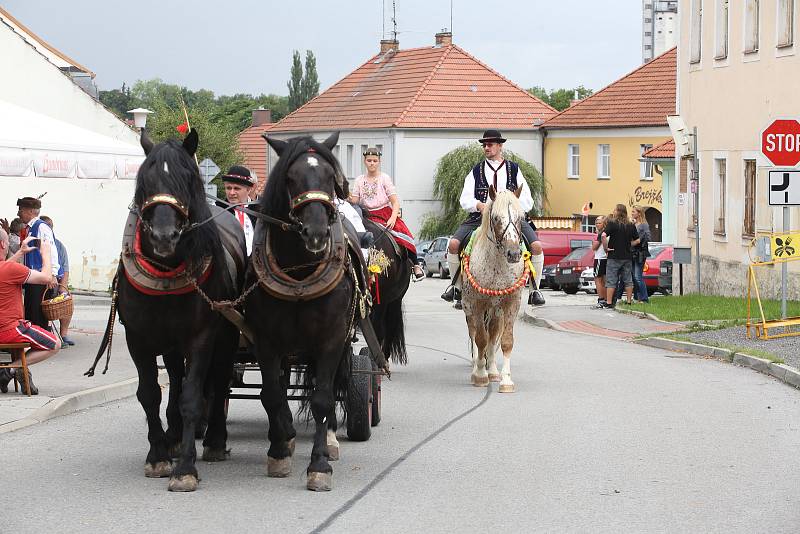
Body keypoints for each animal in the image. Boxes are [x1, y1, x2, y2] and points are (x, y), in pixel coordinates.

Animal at [91, 131, 247, 494]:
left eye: (187, 178)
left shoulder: (201, 337)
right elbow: (150, 394)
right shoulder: (138, 338)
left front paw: (186, 468)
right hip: (171, 342)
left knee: (219, 380)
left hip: (226, 335)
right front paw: (159, 455)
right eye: (145, 181)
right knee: (175, 379)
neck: (166, 270)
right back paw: (173, 437)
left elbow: (192, 397)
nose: (164, 236)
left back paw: (214, 440)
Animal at [460, 185, 528, 394]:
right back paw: (477, 368)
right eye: (497, 218)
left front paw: (506, 380)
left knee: (492, 333)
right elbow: (480, 339)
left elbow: (505, 341)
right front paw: (481, 376)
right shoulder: (477, 304)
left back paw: (493, 370)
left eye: (520, 218)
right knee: (475, 334)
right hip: (469, 308)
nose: (514, 254)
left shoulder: (511, 304)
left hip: (496, 310)